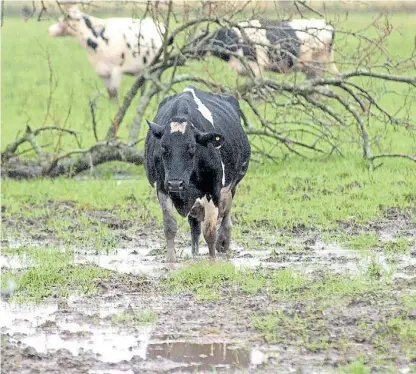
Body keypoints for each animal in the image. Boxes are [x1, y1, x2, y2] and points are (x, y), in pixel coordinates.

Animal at [145, 84, 252, 262]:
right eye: (163, 148)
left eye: (192, 148)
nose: (175, 183)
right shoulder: (162, 188)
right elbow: (170, 227)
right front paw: (170, 260)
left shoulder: (213, 190)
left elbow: (210, 231)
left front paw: (212, 261)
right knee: (194, 225)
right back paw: (195, 254)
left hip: (232, 184)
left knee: (226, 214)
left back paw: (223, 242)